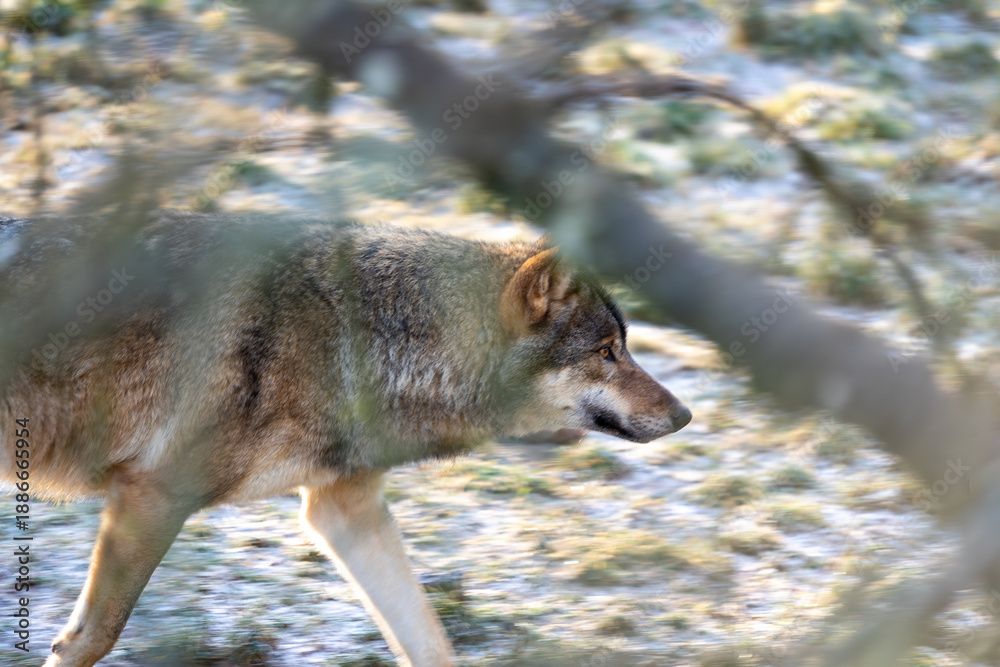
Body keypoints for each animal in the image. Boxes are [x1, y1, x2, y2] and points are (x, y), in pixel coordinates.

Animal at [0, 211, 691, 667]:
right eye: (606, 353)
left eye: (624, 347)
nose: (684, 414)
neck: (362, 339)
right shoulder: (152, 496)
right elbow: (92, 638)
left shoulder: (343, 508)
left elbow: (431, 643)